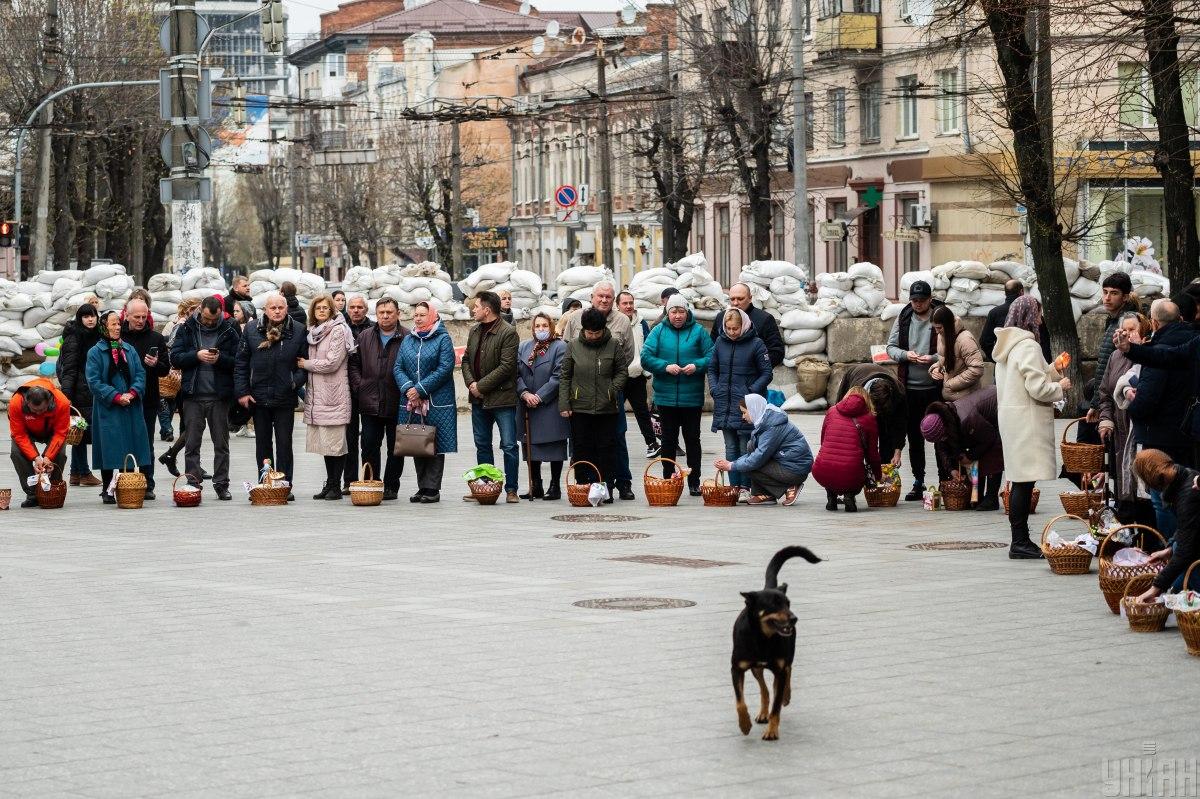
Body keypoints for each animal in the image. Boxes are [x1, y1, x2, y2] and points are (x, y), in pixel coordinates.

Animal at [729, 544, 825, 739]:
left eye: (788, 603)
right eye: (773, 605)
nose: (794, 618)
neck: (763, 638)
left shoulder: (779, 669)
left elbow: (776, 705)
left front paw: (772, 731)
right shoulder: (736, 669)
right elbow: (740, 701)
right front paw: (744, 724)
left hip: (786, 658)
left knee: (786, 675)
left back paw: (785, 696)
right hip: (756, 668)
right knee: (765, 689)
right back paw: (762, 713)